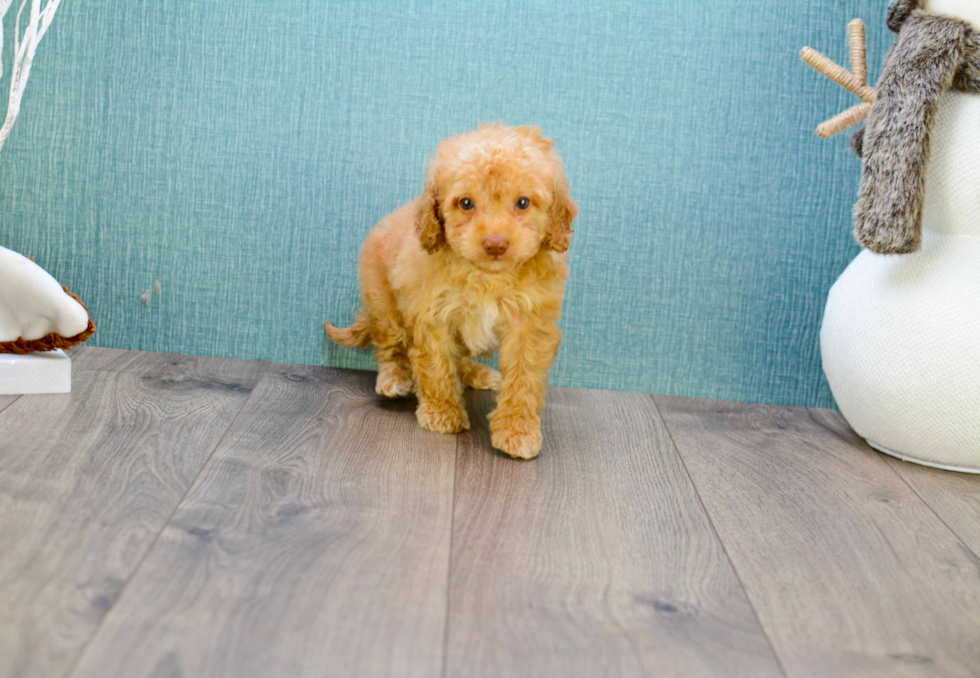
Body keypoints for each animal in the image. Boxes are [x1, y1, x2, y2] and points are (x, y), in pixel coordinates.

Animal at [326, 125, 580, 460]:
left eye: (523, 203)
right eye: (466, 203)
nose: (496, 244)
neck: (486, 277)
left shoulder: (529, 324)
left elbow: (523, 379)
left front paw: (518, 429)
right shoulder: (433, 315)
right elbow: (436, 367)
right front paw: (442, 413)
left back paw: (477, 373)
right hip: (380, 297)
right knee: (390, 343)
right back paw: (394, 377)